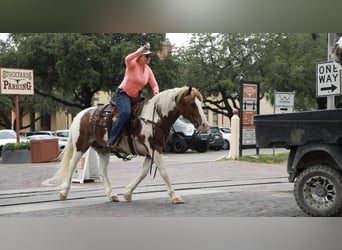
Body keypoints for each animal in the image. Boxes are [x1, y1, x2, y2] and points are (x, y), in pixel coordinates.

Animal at [53, 86, 208, 203]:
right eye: (192, 104)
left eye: (201, 103)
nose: (205, 125)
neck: (155, 118)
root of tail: (81, 114)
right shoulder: (155, 150)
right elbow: (164, 172)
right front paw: (175, 196)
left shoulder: (150, 153)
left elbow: (143, 173)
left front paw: (127, 192)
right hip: (81, 146)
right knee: (72, 165)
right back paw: (63, 192)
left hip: (103, 149)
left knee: (102, 171)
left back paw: (112, 195)